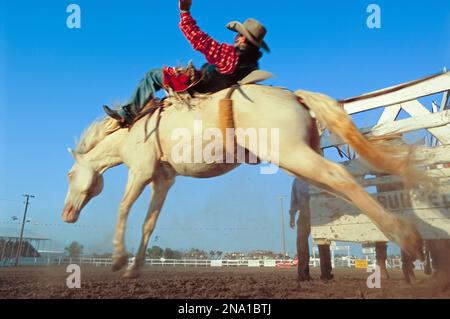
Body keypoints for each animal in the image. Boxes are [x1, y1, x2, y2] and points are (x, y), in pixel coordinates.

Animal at [62, 86, 426, 278]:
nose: (66, 213)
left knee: (340, 178)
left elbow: (124, 208)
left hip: (292, 154)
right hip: (303, 156)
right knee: (316, 199)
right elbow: (149, 223)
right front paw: (134, 268)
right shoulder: (163, 180)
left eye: (68, 175)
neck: (135, 128)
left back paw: (406, 236)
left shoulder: (139, 171)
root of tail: (296, 97)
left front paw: (118, 259)